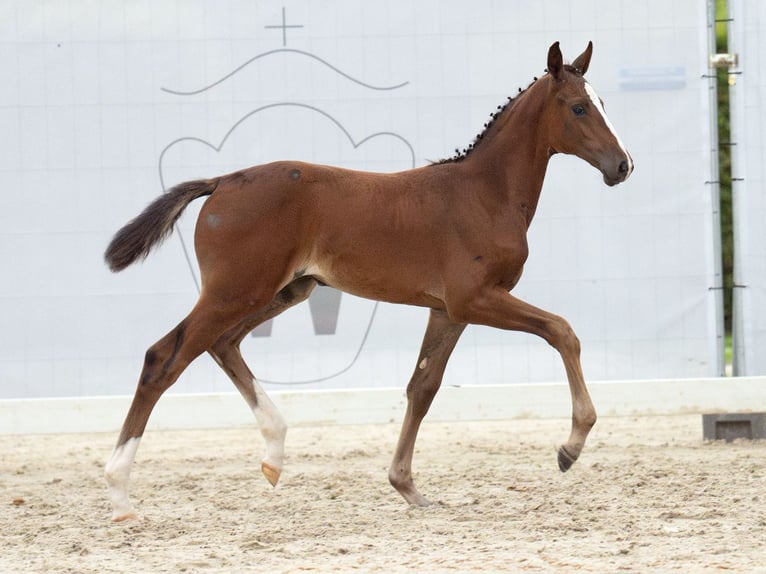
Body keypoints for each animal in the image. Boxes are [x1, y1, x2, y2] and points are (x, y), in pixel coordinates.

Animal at [106, 42, 636, 520]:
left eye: (603, 104)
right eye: (579, 106)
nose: (623, 165)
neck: (484, 194)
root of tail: (221, 181)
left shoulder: (446, 310)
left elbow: (423, 387)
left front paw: (407, 487)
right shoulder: (475, 299)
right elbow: (562, 331)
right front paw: (571, 446)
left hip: (281, 291)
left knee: (222, 345)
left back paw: (274, 455)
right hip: (235, 291)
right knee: (163, 358)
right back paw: (120, 495)